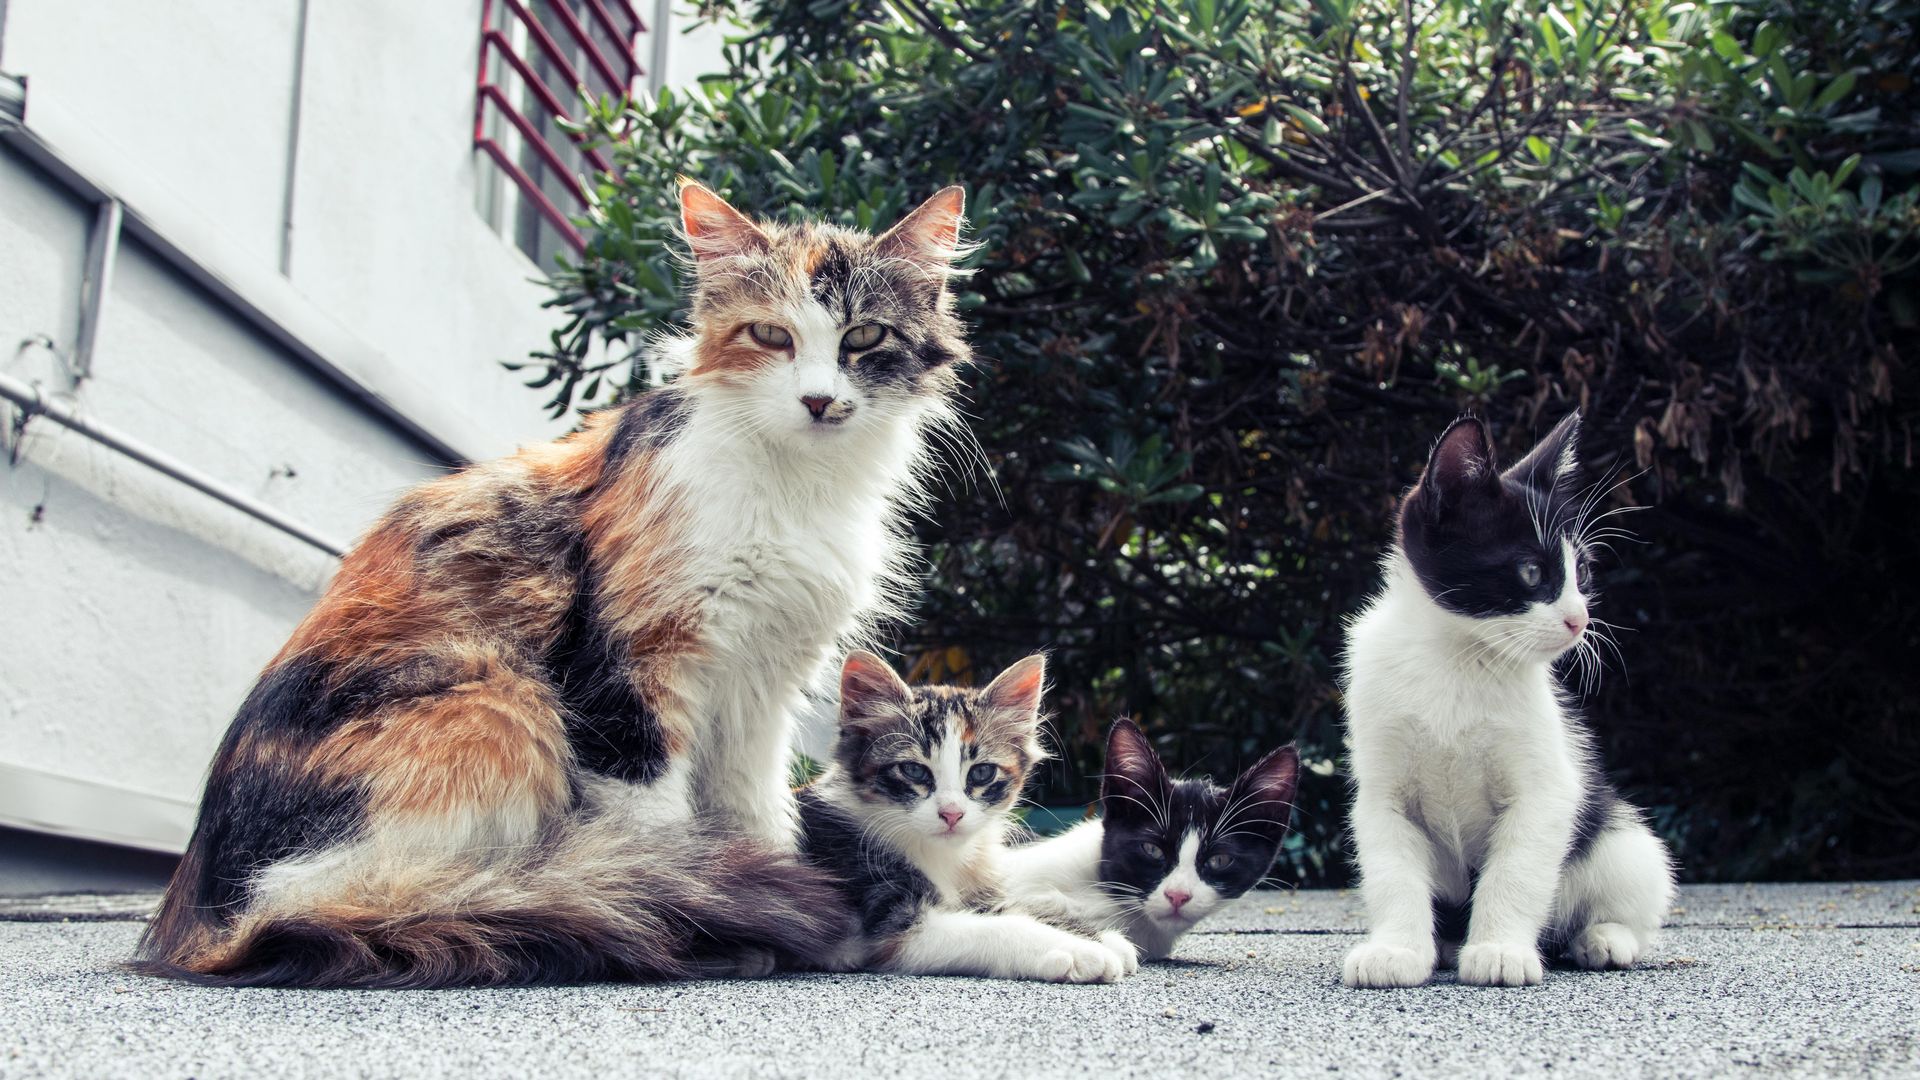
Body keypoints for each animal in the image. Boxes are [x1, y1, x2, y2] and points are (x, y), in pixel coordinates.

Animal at [135, 182, 975, 983]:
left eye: (864, 337)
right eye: (771, 335)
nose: (819, 401)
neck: (800, 486)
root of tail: (202, 918)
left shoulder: (761, 686)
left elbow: (756, 811)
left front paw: (775, 901)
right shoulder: (633, 666)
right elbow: (657, 829)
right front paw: (711, 909)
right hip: (502, 703)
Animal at [798, 641, 1136, 980]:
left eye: (982, 773)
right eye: (914, 771)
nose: (952, 814)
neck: (944, 856)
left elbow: (1015, 906)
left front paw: (1101, 937)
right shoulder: (891, 919)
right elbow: (999, 927)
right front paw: (1082, 950)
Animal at [1344, 409, 1674, 983]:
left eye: (1582, 572)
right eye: (1532, 571)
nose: (1580, 619)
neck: (1456, 660)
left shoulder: (1548, 788)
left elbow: (1516, 869)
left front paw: (1499, 949)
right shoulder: (1382, 791)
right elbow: (1392, 870)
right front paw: (1397, 950)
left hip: (1622, 838)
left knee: (1631, 887)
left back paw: (1603, 938)